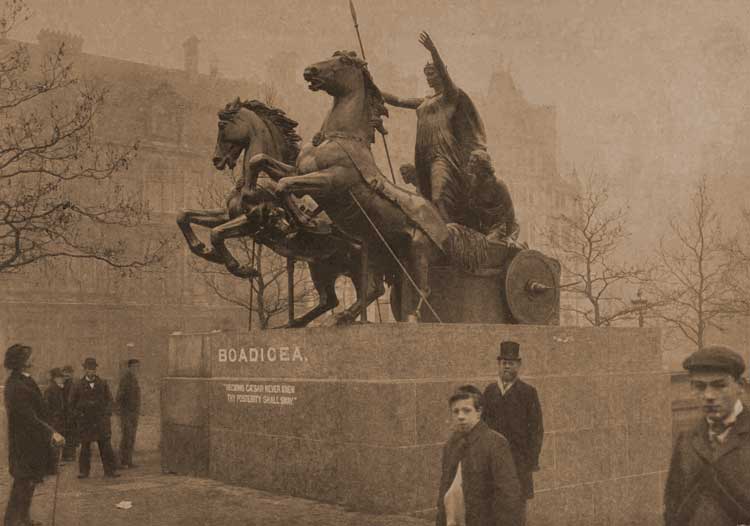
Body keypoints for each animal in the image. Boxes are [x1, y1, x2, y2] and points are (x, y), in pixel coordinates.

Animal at [177, 98, 388, 328]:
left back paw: (341, 318)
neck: (258, 181)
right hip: (322, 265)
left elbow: (216, 233)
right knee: (332, 299)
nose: (216, 159)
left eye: (222, 125)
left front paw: (241, 268)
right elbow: (185, 215)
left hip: (353, 264)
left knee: (371, 290)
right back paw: (296, 322)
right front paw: (205, 251)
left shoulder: (254, 221)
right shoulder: (229, 214)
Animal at [247, 52, 488, 322]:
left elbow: (284, 186)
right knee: (375, 288)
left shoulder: (330, 182)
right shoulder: (299, 171)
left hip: (418, 250)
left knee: (422, 288)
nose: (310, 70)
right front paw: (248, 194)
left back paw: (411, 318)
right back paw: (345, 316)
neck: (341, 138)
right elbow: (261, 163)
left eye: (341, 61)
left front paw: (304, 220)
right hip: (377, 249)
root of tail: (446, 227)